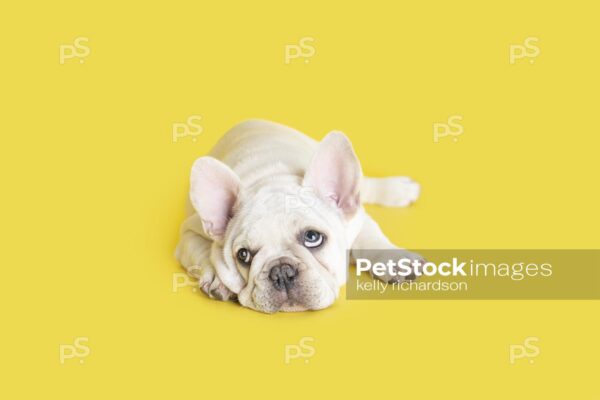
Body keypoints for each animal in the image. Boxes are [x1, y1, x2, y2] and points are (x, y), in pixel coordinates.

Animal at [176, 120, 422, 314]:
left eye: (313, 237)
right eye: (243, 255)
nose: (281, 272)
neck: (272, 178)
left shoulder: (356, 218)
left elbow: (371, 238)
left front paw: (394, 261)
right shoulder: (188, 232)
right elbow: (202, 251)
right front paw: (218, 278)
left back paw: (399, 189)